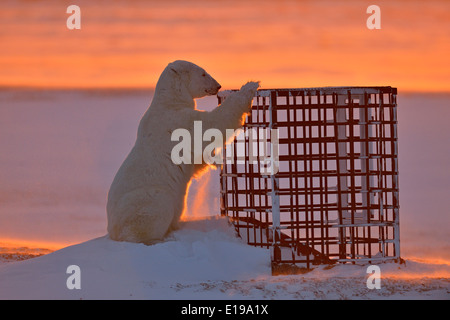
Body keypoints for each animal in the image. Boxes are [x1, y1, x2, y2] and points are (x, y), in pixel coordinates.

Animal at [106, 60, 260, 244]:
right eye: (203, 73)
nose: (218, 85)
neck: (169, 101)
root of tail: (112, 230)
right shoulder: (178, 122)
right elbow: (211, 124)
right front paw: (250, 85)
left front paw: (214, 160)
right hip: (144, 200)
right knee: (156, 207)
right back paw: (161, 238)